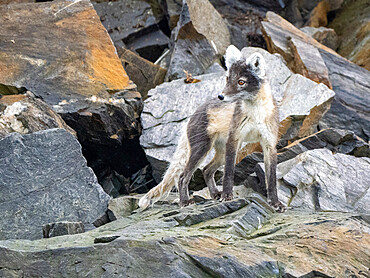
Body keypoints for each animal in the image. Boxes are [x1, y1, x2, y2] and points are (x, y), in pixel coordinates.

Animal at [140, 44, 284, 212]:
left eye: (241, 82)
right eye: (228, 79)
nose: (221, 96)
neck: (256, 114)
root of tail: (192, 116)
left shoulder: (269, 145)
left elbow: (272, 179)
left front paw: (275, 203)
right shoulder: (234, 139)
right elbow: (228, 173)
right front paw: (227, 196)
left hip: (221, 152)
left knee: (206, 170)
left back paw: (215, 194)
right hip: (203, 149)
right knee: (182, 176)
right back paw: (185, 202)